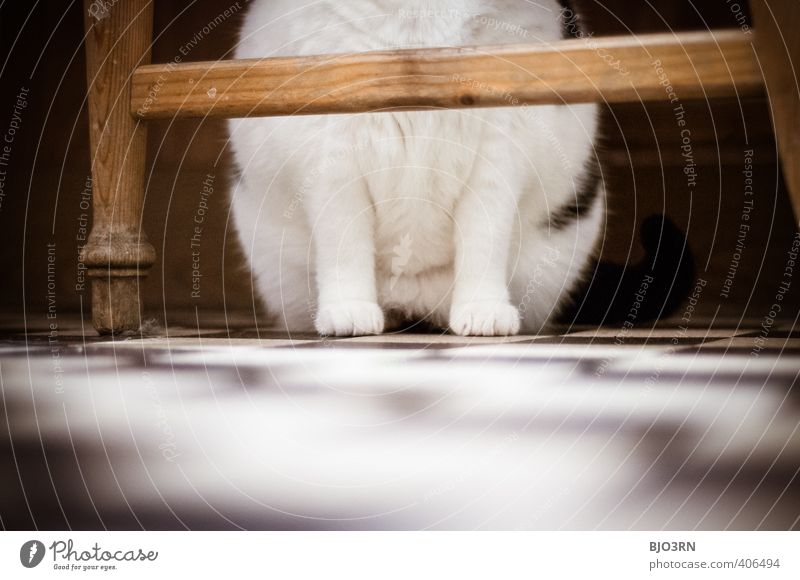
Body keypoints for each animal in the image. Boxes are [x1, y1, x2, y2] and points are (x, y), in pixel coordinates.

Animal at [228, 0, 604, 336]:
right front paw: (349, 310)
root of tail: (413, 301)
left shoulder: (498, 155)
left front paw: (483, 309)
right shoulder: (331, 155)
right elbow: (343, 242)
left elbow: (485, 239)